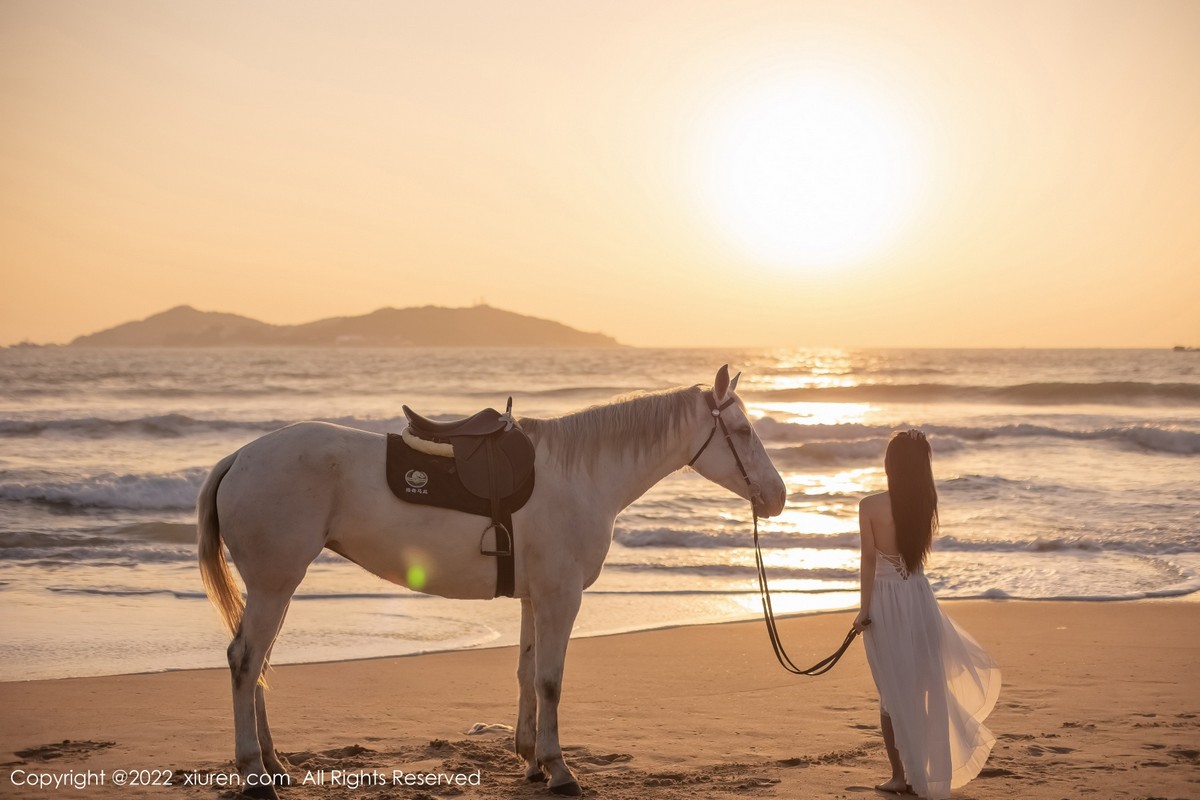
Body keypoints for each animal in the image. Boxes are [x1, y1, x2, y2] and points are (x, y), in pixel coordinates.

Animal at [199, 367, 787, 796]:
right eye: (741, 431)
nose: (777, 497)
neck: (581, 475)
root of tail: (241, 457)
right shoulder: (560, 597)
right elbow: (550, 680)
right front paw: (559, 769)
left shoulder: (535, 597)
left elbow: (527, 674)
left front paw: (530, 759)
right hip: (275, 585)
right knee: (246, 661)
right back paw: (253, 772)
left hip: (278, 586)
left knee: (257, 664)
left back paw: (274, 763)